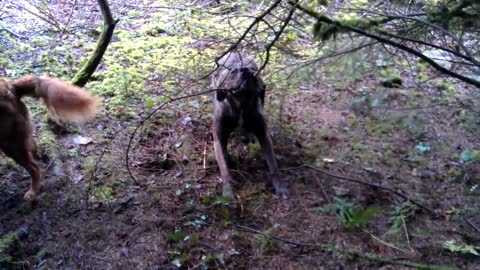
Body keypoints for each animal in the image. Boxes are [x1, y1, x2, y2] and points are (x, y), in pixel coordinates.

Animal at [211, 51, 288, 197]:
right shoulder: (219, 138)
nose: (246, 70)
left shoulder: (264, 135)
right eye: (232, 72)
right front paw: (228, 191)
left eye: (253, 70)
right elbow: (224, 168)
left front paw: (280, 186)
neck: (242, 102)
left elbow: (273, 164)